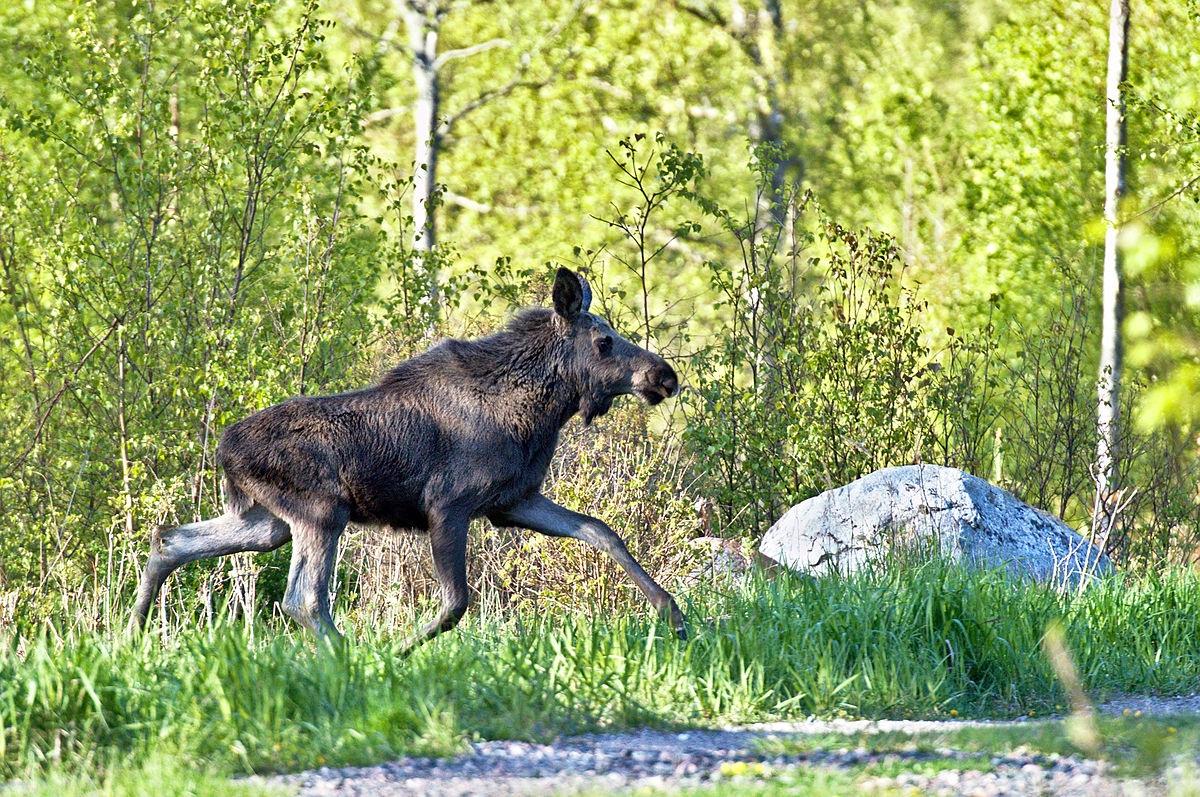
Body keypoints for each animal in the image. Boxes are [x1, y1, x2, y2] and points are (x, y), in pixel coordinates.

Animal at [133, 264, 686, 652]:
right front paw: (401, 651)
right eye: (604, 341)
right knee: (303, 599)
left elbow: (601, 530)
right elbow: (456, 602)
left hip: (266, 521)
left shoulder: (513, 501)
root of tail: (224, 450)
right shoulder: (448, 505)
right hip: (321, 510)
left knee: (170, 540)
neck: (538, 415)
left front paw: (673, 614)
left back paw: (134, 631)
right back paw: (355, 657)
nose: (665, 375)